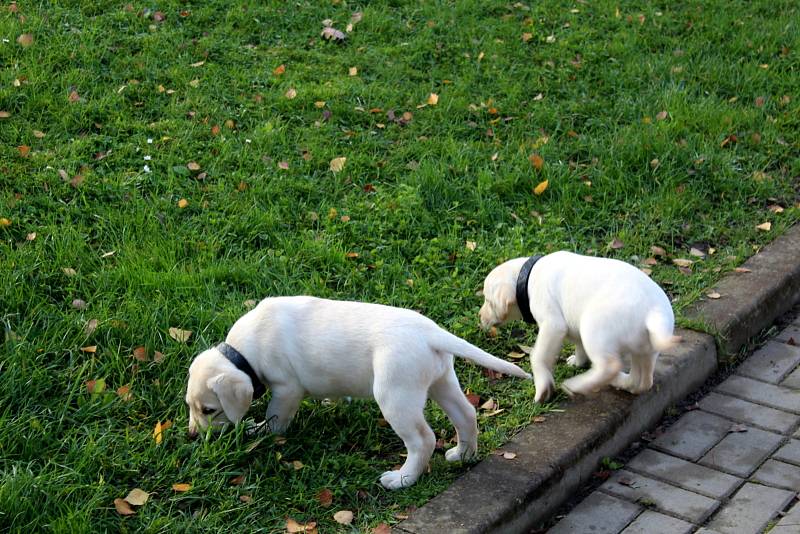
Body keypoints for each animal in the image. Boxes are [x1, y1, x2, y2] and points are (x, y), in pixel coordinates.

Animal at [187, 298, 532, 490]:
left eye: (209, 410)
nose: (192, 436)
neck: (243, 353)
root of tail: (432, 333)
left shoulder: (286, 389)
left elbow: (275, 418)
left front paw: (260, 432)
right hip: (441, 381)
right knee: (466, 414)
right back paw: (463, 455)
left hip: (395, 396)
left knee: (423, 439)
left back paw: (402, 479)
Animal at [478, 253, 680, 404]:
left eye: (488, 301)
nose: (480, 318)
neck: (527, 277)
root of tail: (654, 312)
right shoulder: (571, 326)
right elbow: (579, 345)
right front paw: (577, 361)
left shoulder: (553, 325)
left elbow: (538, 356)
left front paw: (543, 388)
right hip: (645, 351)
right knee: (641, 382)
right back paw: (620, 381)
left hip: (593, 328)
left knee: (610, 366)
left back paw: (576, 386)